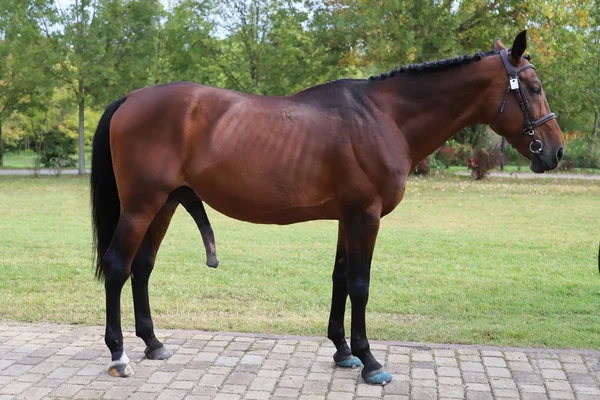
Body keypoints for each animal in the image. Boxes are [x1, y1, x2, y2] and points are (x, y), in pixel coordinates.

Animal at [89, 31, 564, 384]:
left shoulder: (347, 218)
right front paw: (370, 362)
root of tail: (130, 98)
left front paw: (342, 351)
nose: (556, 151)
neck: (384, 118)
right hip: (141, 206)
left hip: (164, 205)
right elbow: (360, 285)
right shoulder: (365, 217)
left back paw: (153, 344)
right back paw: (119, 355)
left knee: (142, 267)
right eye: (534, 88)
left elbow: (339, 278)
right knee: (117, 266)